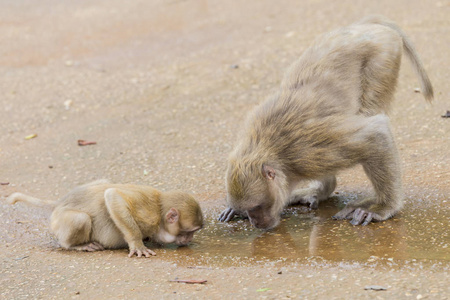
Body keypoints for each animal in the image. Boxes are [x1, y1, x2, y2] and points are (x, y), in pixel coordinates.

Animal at [7, 179, 203, 256]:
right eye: (189, 232)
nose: (189, 239)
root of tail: (60, 202)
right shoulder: (149, 215)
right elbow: (112, 196)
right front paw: (137, 244)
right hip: (60, 220)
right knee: (81, 219)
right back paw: (75, 245)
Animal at [220, 15, 434, 229]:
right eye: (248, 210)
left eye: (256, 207)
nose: (256, 223)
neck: (266, 150)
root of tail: (362, 26)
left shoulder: (304, 153)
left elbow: (376, 133)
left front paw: (382, 207)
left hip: (383, 56)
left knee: (370, 112)